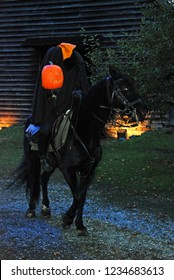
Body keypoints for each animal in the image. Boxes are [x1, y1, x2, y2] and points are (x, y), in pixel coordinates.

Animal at [15, 66, 148, 236]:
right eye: (125, 88)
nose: (143, 111)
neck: (84, 133)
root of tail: (30, 120)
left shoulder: (89, 171)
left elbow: (82, 197)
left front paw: (79, 225)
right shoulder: (67, 169)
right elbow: (77, 195)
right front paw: (67, 219)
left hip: (51, 162)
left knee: (43, 178)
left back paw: (45, 208)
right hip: (33, 159)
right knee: (33, 179)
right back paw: (31, 209)